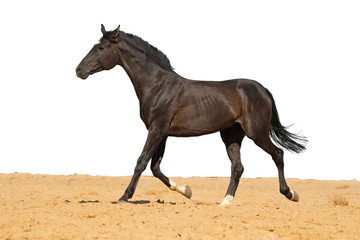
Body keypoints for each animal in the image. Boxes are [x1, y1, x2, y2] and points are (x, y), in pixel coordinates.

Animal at [76, 24, 306, 206]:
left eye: (101, 47)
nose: (79, 71)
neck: (157, 86)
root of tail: (263, 89)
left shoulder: (156, 130)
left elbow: (141, 162)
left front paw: (125, 196)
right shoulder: (162, 133)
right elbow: (155, 167)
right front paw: (186, 191)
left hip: (256, 133)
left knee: (278, 154)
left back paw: (290, 194)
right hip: (231, 136)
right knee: (238, 167)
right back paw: (225, 201)